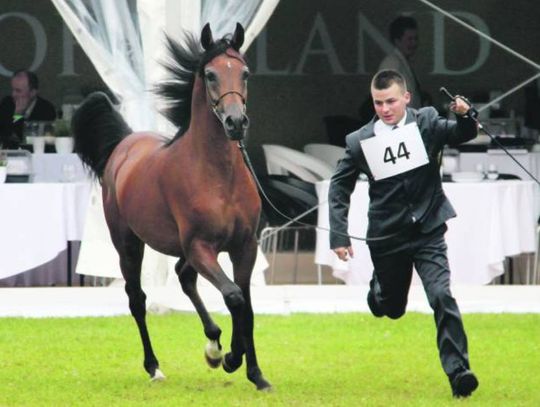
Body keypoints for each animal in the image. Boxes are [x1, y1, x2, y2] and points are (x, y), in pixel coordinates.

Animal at [73, 23, 270, 392]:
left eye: (246, 73)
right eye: (210, 74)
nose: (236, 122)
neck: (218, 176)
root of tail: (125, 144)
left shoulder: (244, 246)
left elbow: (247, 306)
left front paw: (255, 374)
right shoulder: (201, 247)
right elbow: (234, 296)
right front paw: (232, 359)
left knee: (183, 277)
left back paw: (212, 344)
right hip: (129, 245)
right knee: (137, 299)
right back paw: (155, 367)